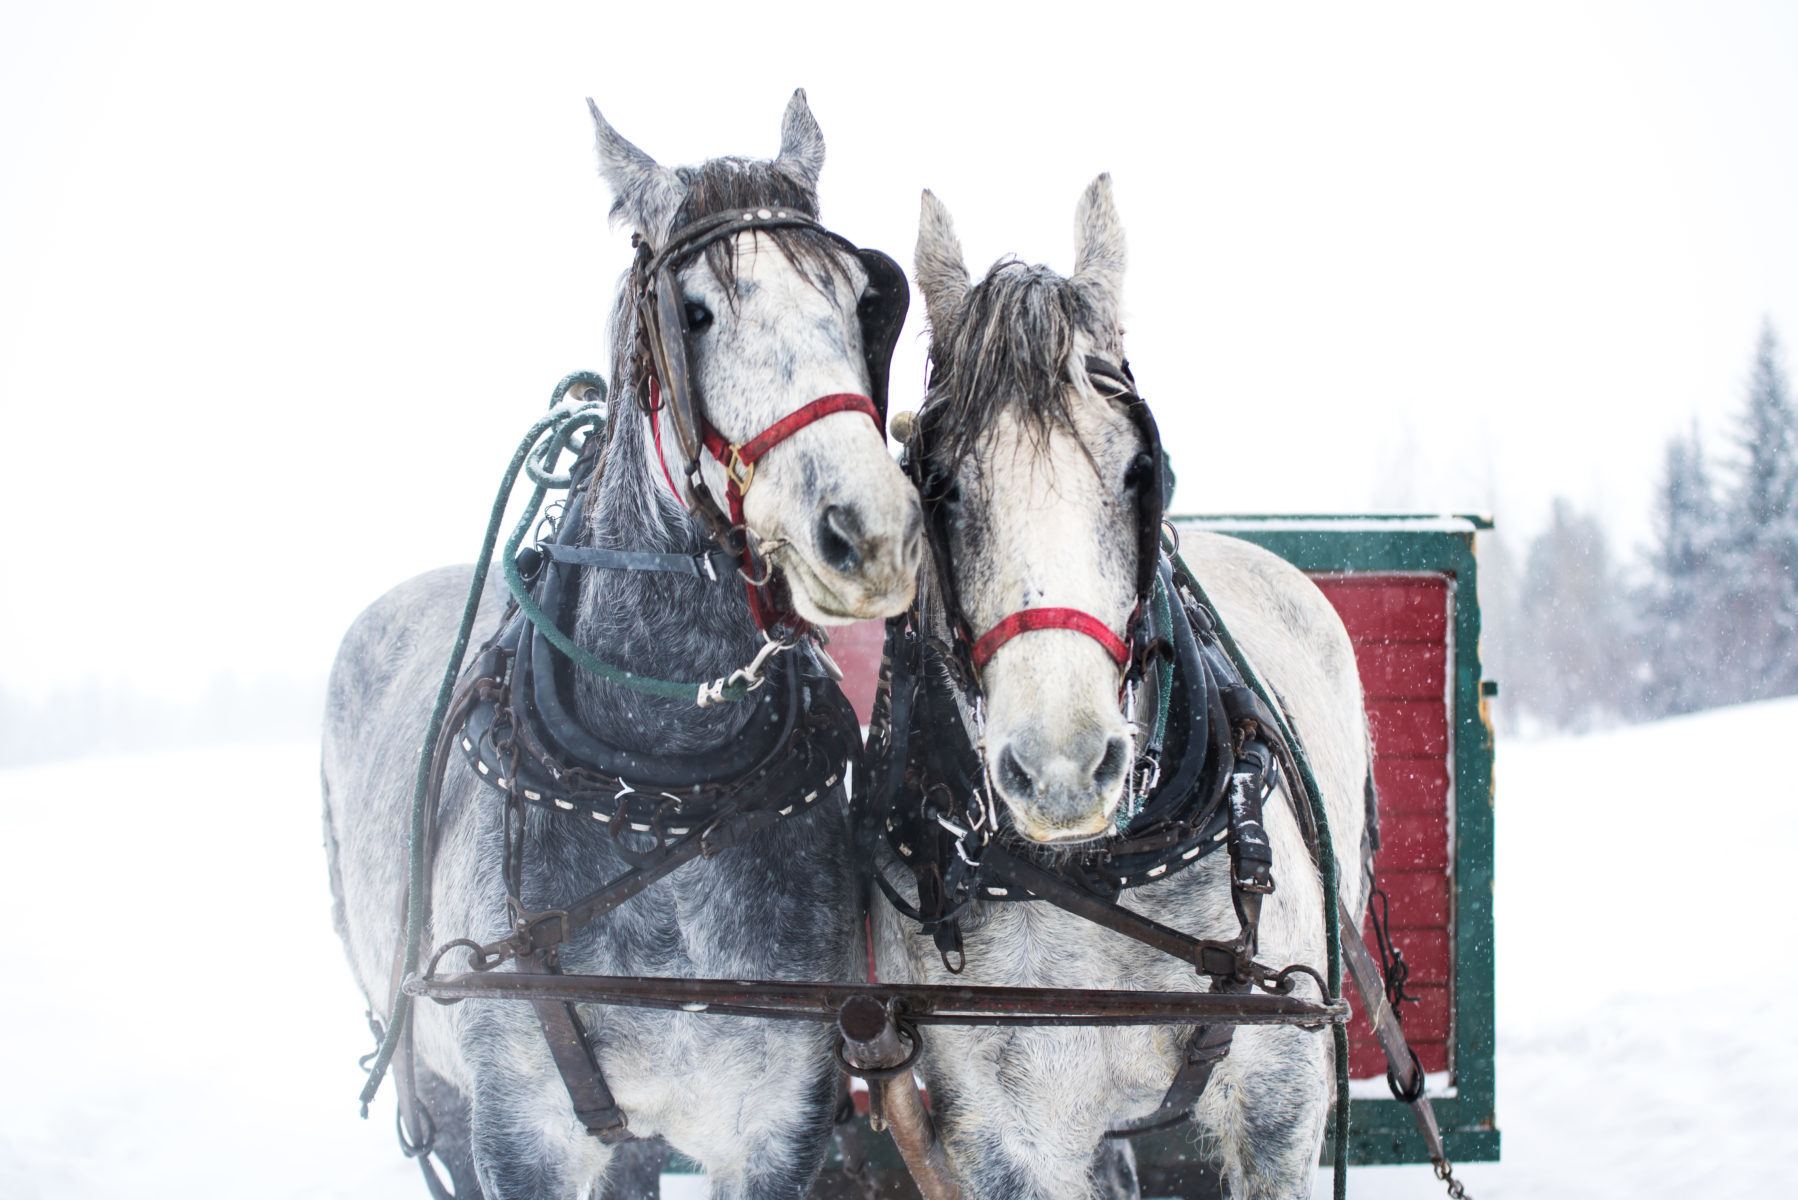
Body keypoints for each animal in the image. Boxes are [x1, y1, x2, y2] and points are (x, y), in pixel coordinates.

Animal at [320, 96, 927, 1200]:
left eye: (862, 298)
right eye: (696, 312)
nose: (869, 533)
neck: (661, 787)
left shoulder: (776, 1124)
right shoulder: (521, 1135)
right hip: (437, 1087)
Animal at [866, 178, 1359, 1200]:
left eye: (1140, 467)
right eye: (941, 484)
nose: (1062, 770)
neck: (1101, 881)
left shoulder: (1282, 1104)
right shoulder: (1004, 1135)